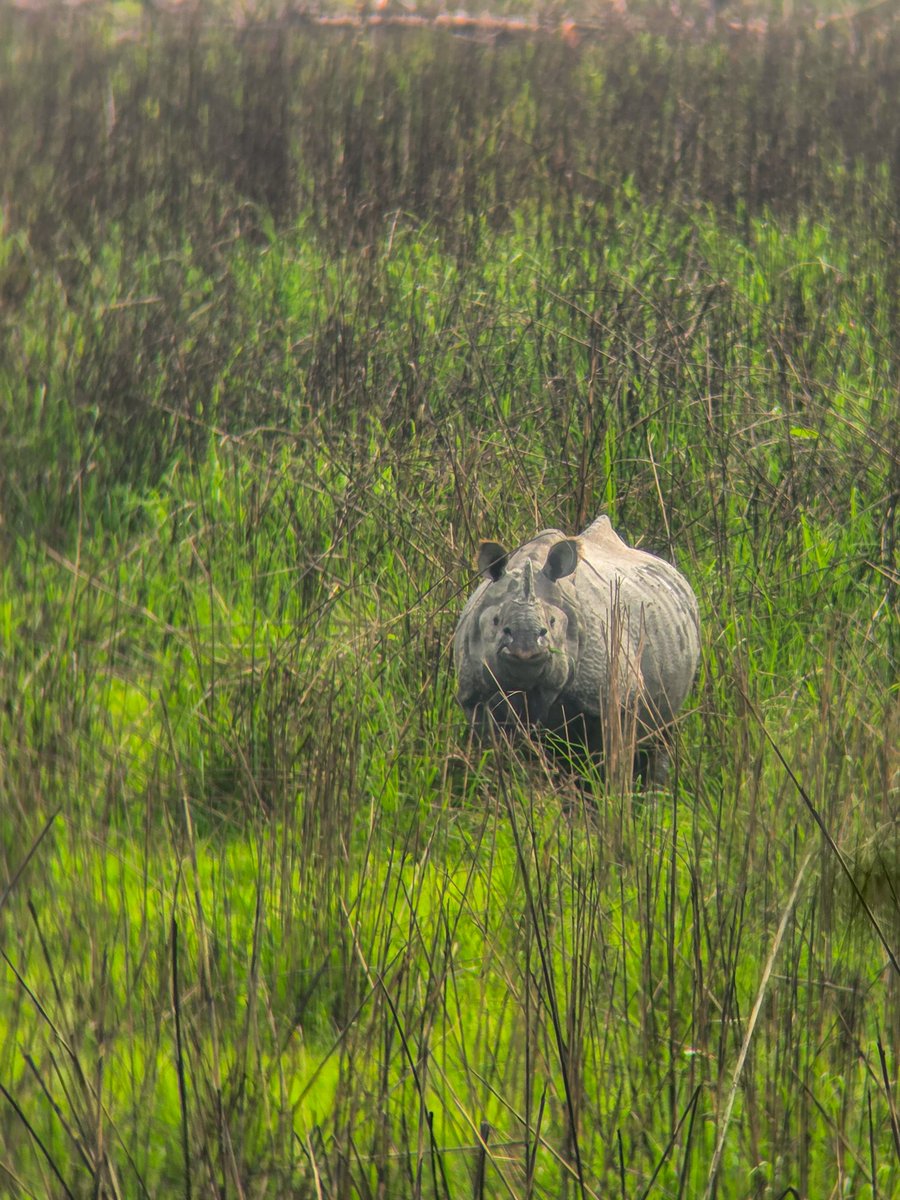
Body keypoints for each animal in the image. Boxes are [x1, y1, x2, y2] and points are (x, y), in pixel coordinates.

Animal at [453, 514, 700, 782]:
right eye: (497, 622)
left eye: (551, 624)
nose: (524, 648)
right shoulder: (475, 696)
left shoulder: (612, 698)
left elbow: (612, 760)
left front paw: (610, 790)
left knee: (661, 731)